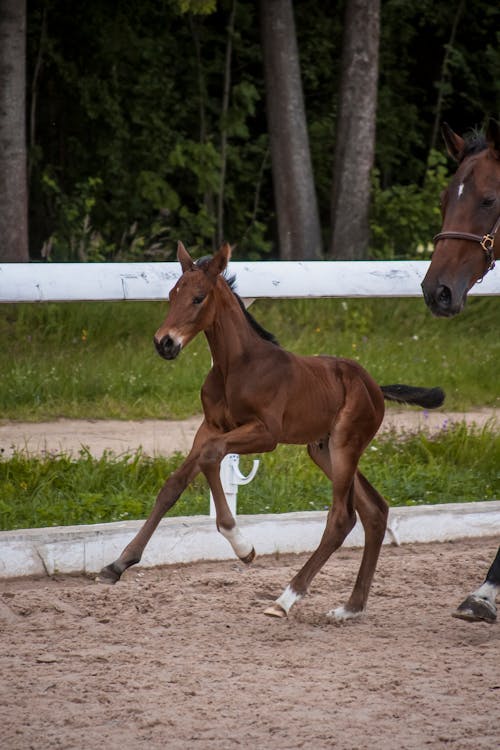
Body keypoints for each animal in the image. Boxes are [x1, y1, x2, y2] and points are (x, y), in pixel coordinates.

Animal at [99, 242, 444, 624]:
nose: (164, 343)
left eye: (198, 298)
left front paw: (242, 545)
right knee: (375, 510)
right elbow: (173, 484)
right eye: (172, 294)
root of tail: (374, 388)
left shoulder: (266, 434)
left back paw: (286, 599)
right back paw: (350, 607)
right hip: (322, 449)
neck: (236, 366)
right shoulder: (210, 427)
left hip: (345, 445)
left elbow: (212, 456)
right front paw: (118, 563)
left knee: (343, 517)